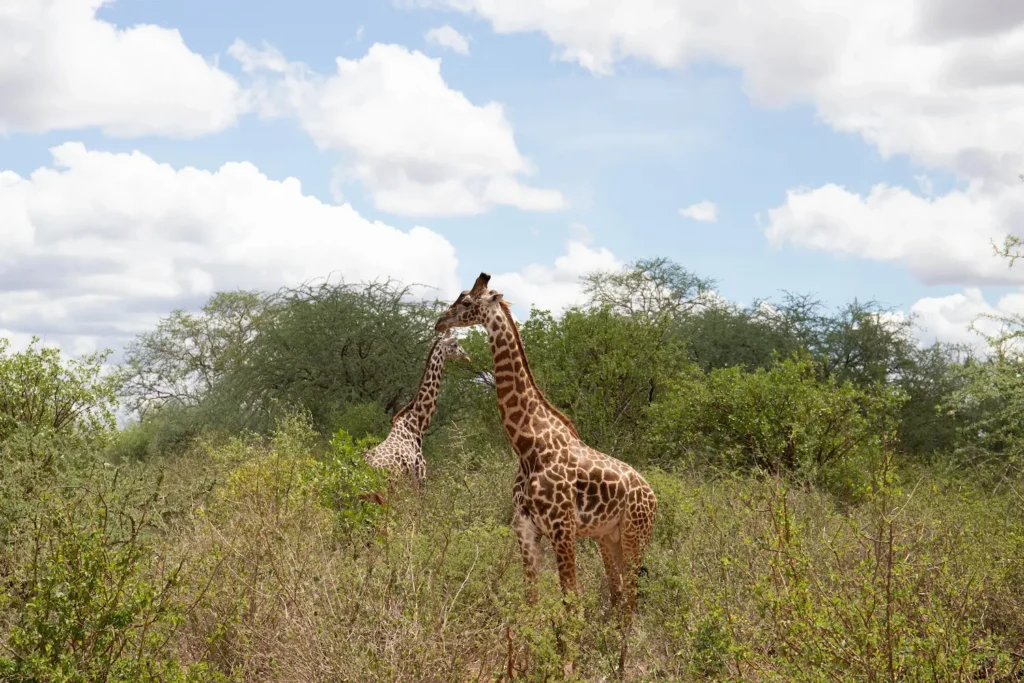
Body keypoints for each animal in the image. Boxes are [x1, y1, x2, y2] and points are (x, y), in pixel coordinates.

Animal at [435, 273, 657, 610]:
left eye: (467, 301)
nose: (440, 321)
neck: (527, 443)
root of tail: (653, 496)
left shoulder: (562, 527)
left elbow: (571, 597)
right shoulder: (526, 527)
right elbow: (531, 598)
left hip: (636, 534)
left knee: (631, 595)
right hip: (609, 537)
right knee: (618, 593)